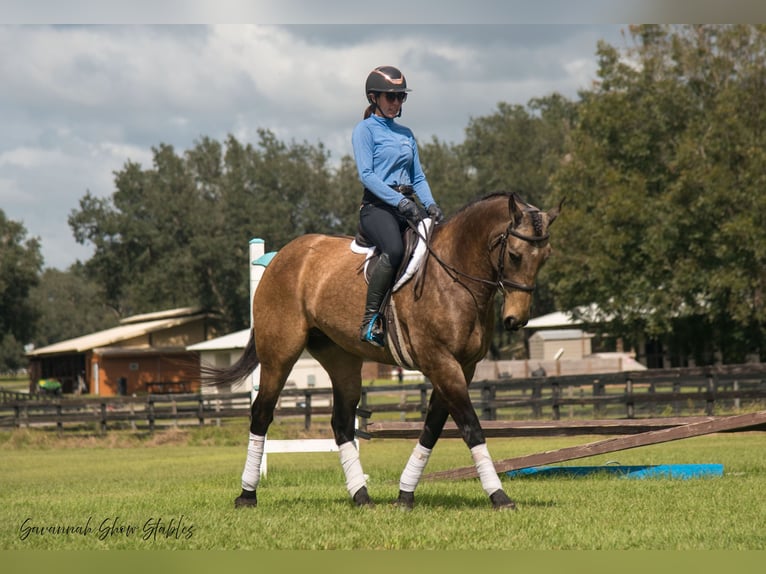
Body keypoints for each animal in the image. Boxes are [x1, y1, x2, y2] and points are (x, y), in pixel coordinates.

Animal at [207, 194, 560, 512]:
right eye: (514, 255)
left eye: (545, 258)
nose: (516, 320)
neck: (456, 277)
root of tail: (283, 256)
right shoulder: (441, 362)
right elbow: (471, 427)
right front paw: (499, 496)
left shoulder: (462, 367)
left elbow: (432, 429)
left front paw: (405, 495)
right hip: (279, 355)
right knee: (261, 413)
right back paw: (247, 495)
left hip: (342, 360)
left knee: (341, 422)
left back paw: (361, 496)